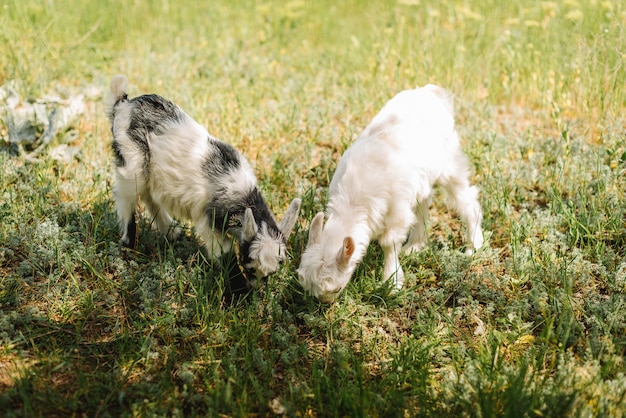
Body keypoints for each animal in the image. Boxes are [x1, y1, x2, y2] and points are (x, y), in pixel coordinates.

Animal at [104, 76, 300, 282]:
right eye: (249, 266)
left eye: (271, 273)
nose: (256, 288)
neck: (240, 193)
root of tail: (124, 104)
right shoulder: (208, 221)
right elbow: (224, 253)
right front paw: (237, 287)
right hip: (132, 161)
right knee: (126, 195)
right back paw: (130, 243)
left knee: (149, 196)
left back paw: (171, 231)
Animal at [298, 83, 482, 302]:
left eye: (336, 289)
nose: (326, 304)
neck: (353, 201)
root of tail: (432, 92)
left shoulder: (397, 210)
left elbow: (389, 242)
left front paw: (392, 283)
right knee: (424, 206)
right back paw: (415, 246)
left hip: (449, 165)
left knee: (466, 200)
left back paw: (473, 246)